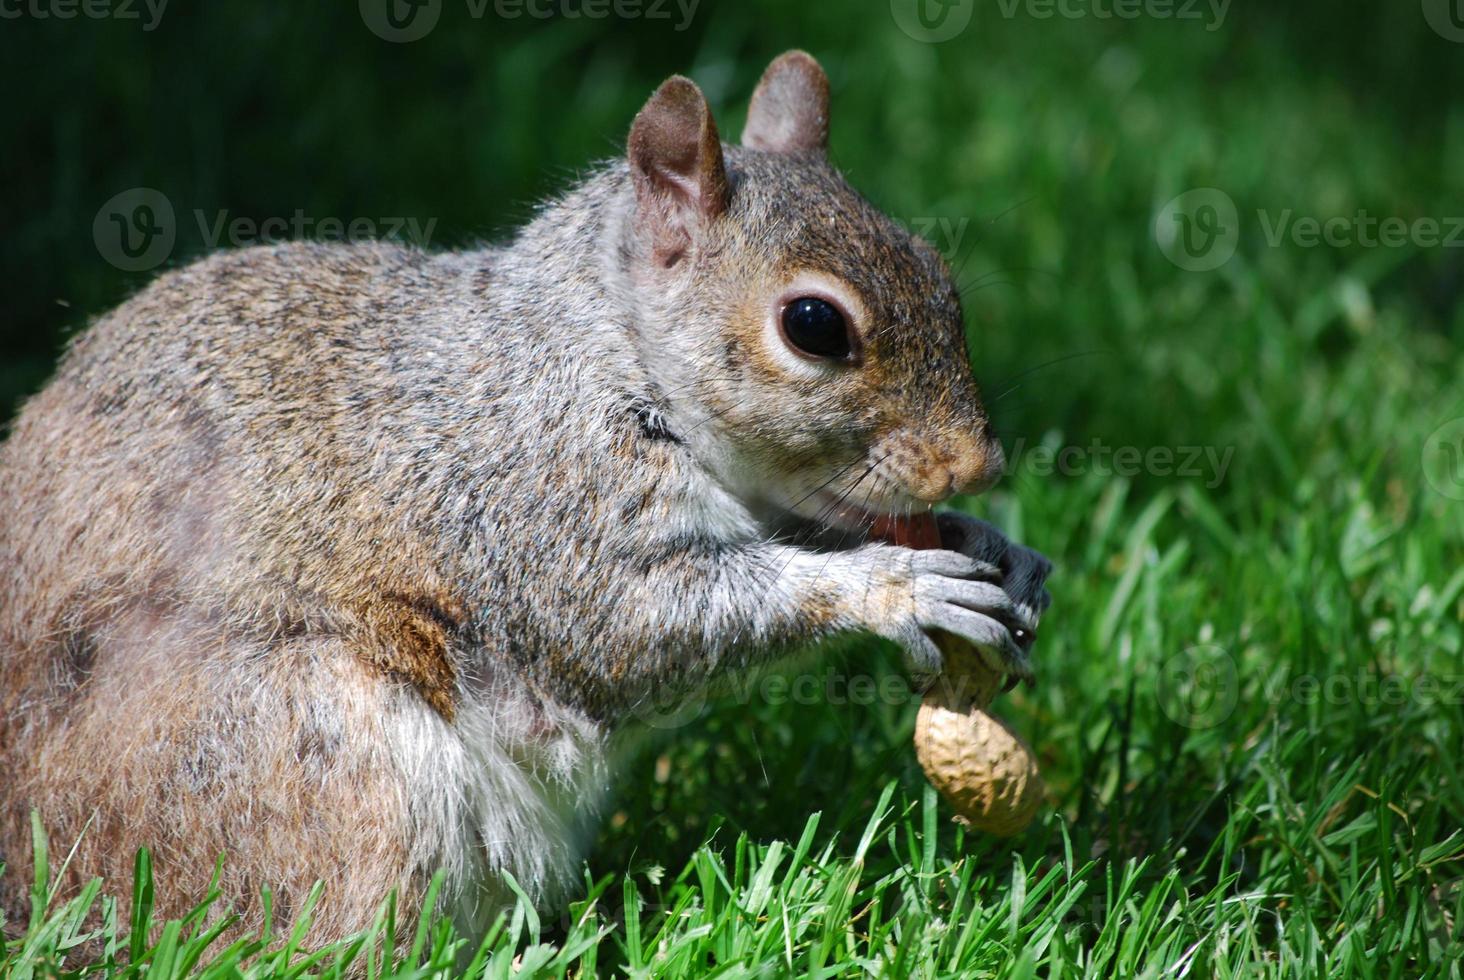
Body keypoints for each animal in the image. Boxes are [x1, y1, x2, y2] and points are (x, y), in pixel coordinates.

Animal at [0, 51, 1054, 937]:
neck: (602, 347)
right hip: (309, 764)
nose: (977, 465)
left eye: (937, 270)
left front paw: (994, 549)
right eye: (813, 326)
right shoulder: (539, 507)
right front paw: (897, 586)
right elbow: (638, 624)